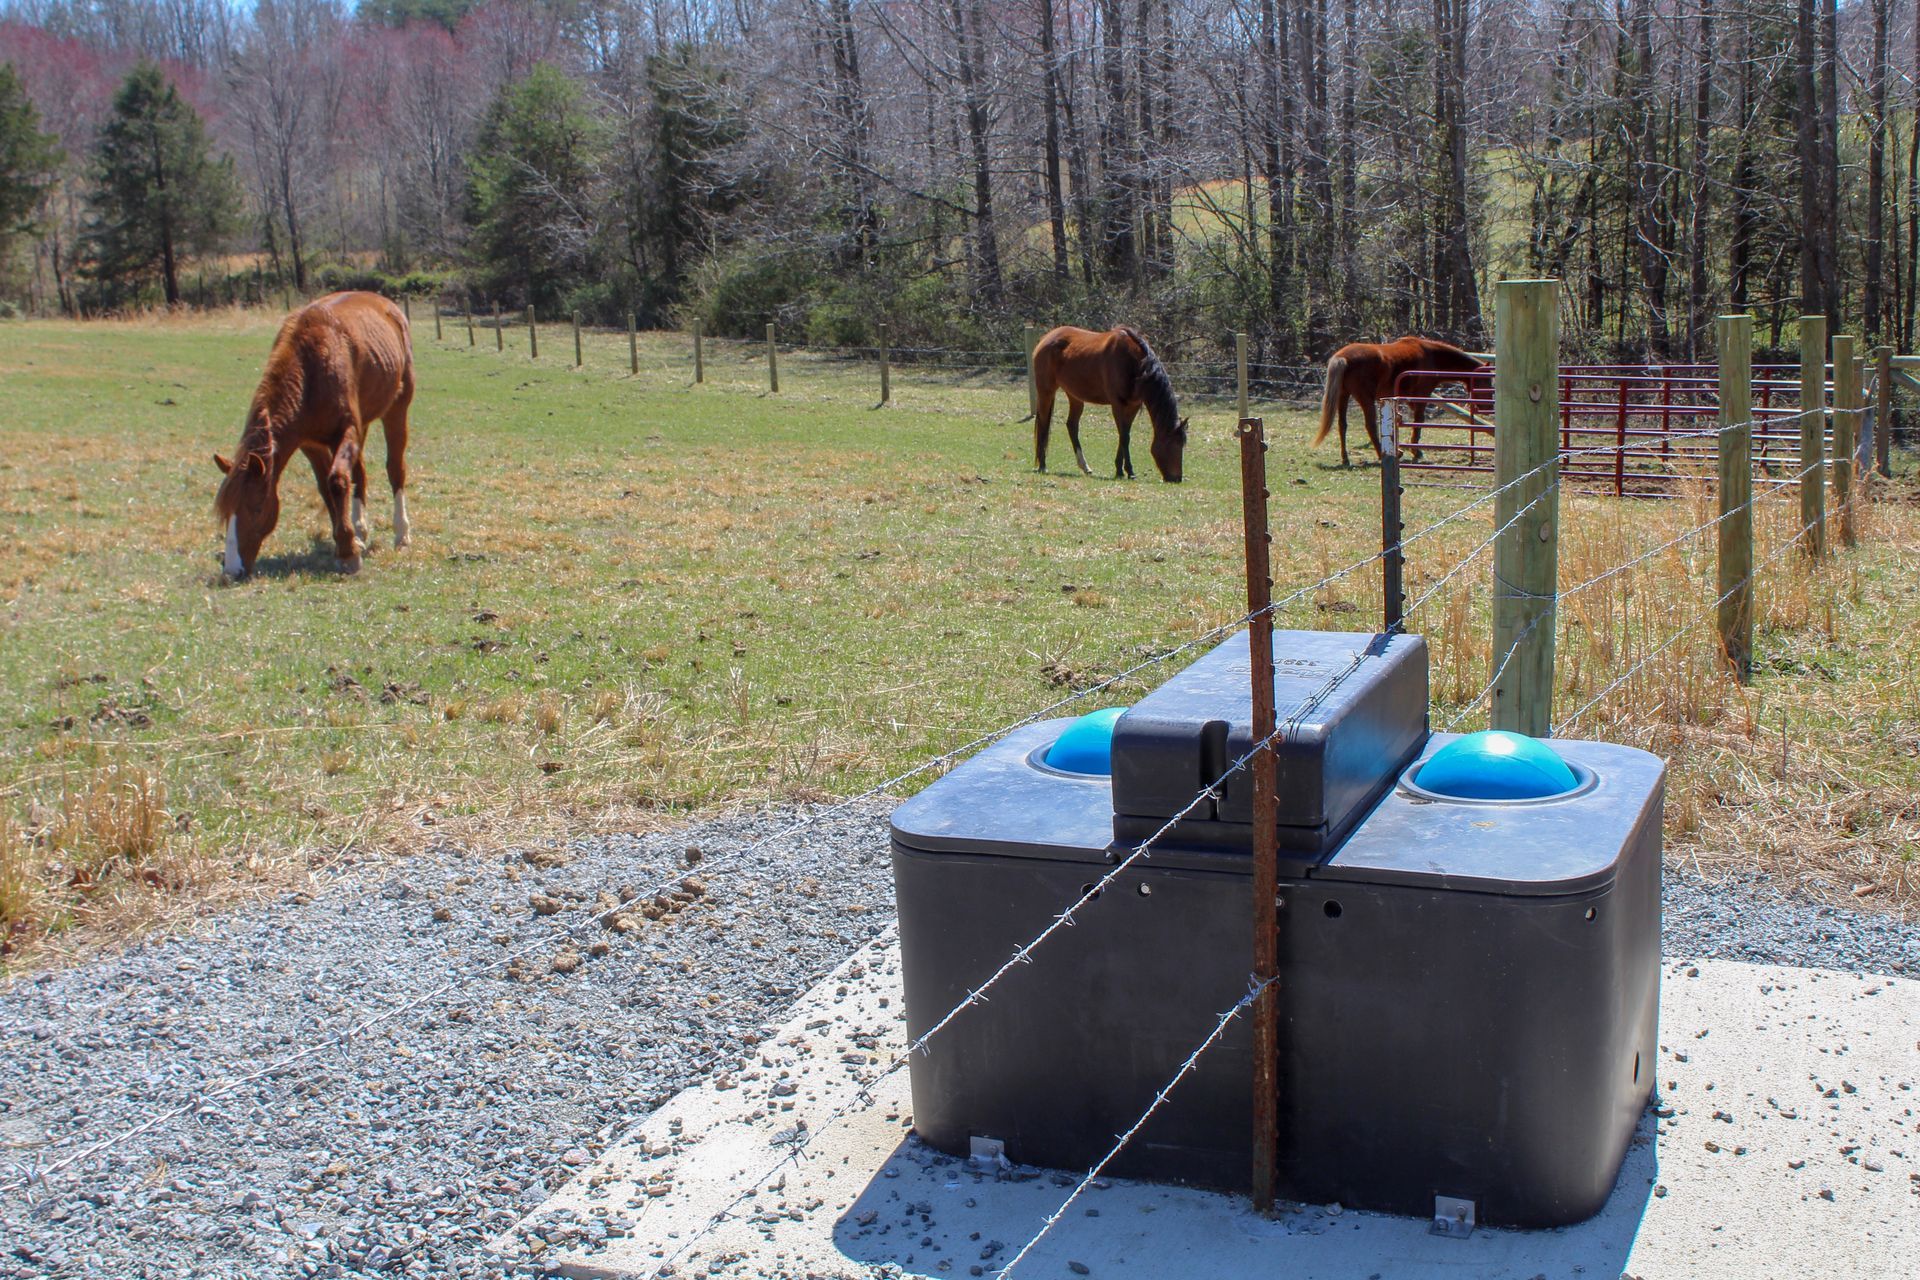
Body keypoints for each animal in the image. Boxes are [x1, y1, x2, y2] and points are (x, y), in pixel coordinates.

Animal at [214, 291, 416, 578]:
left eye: (256, 508)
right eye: (225, 510)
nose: (232, 568)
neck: (310, 372)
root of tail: (387, 305)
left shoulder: (346, 431)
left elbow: (338, 481)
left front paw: (348, 553)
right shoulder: (310, 444)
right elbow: (326, 487)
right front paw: (347, 543)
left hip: (396, 409)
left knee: (395, 470)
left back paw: (401, 535)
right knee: (360, 473)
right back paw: (360, 530)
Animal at [1032, 325, 1189, 482]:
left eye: (1182, 444)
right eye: (1172, 443)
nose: (1177, 478)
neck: (1135, 364)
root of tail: (1045, 339)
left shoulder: (1133, 406)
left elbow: (1124, 435)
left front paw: (1119, 470)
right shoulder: (1117, 404)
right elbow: (1124, 436)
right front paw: (1129, 471)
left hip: (1075, 396)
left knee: (1072, 425)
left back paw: (1085, 467)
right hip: (1046, 391)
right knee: (1044, 424)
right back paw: (1042, 465)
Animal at [1314, 336, 1488, 467]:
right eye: (1485, 382)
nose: (1486, 407)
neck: (1432, 356)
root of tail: (1343, 357)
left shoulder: (1409, 398)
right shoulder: (1421, 396)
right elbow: (1418, 421)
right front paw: (1416, 452)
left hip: (1343, 396)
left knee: (1342, 425)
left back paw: (1346, 459)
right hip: (1365, 399)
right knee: (1370, 426)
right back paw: (1385, 454)